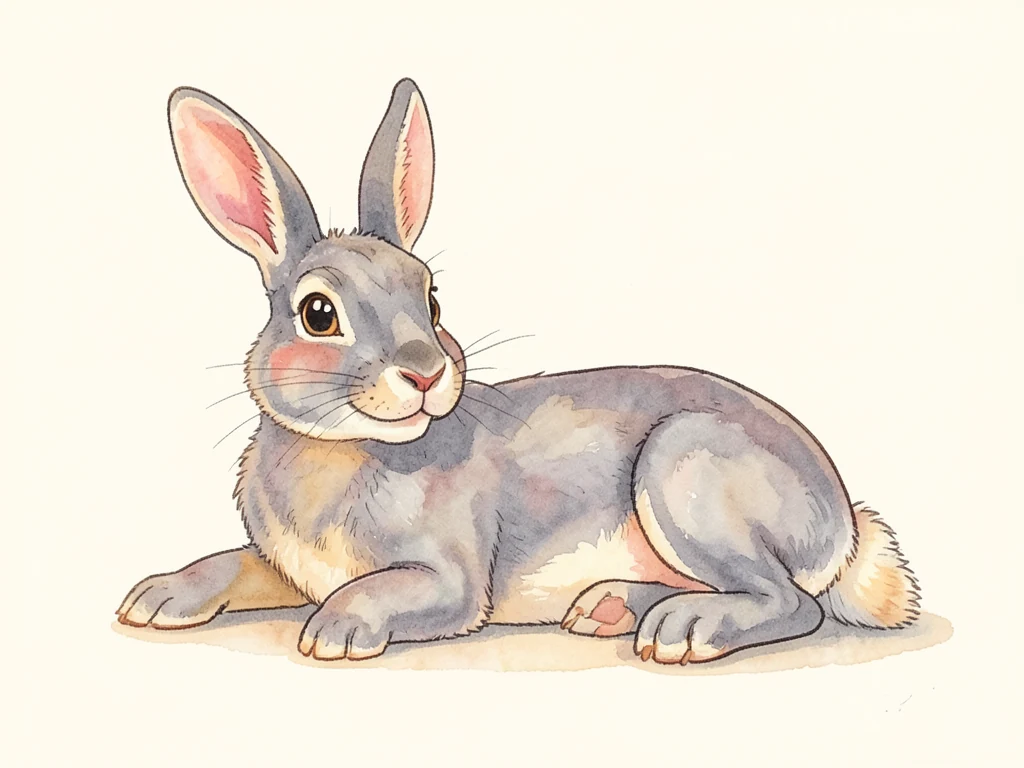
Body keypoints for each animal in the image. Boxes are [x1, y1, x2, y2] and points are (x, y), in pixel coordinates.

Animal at [117, 78, 920, 665]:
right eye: (318, 314)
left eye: (430, 297)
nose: (426, 373)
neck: (345, 448)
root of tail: (845, 531)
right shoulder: (275, 565)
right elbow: (229, 563)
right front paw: (154, 598)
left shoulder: (446, 579)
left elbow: (388, 592)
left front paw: (337, 631)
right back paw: (610, 608)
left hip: (684, 468)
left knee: (790, 601)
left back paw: (684, 628)